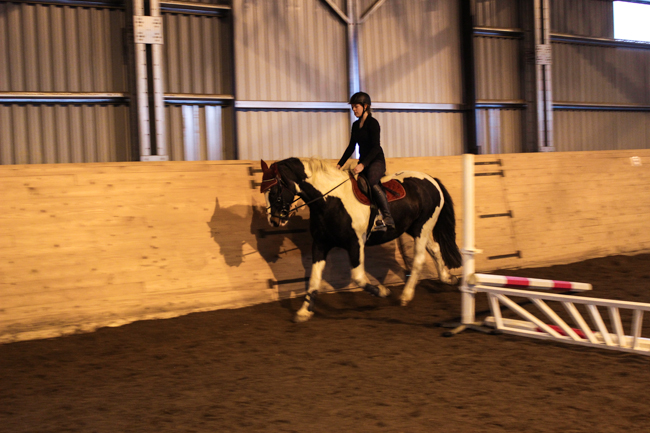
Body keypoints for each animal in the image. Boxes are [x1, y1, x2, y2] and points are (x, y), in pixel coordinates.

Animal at [260, 157, 462, 322]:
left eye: (274, 191)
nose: (274, 220)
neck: (330, 201)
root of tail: (431, 180)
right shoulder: (320, 244)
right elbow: (314, 279)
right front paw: (304, 311)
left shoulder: (355, 244)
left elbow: (358, 277)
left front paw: (383, 291)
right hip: (415, 228)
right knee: (435, 249)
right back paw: (446, 278)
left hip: (423, 226)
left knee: (419, 259)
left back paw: (406, 295)